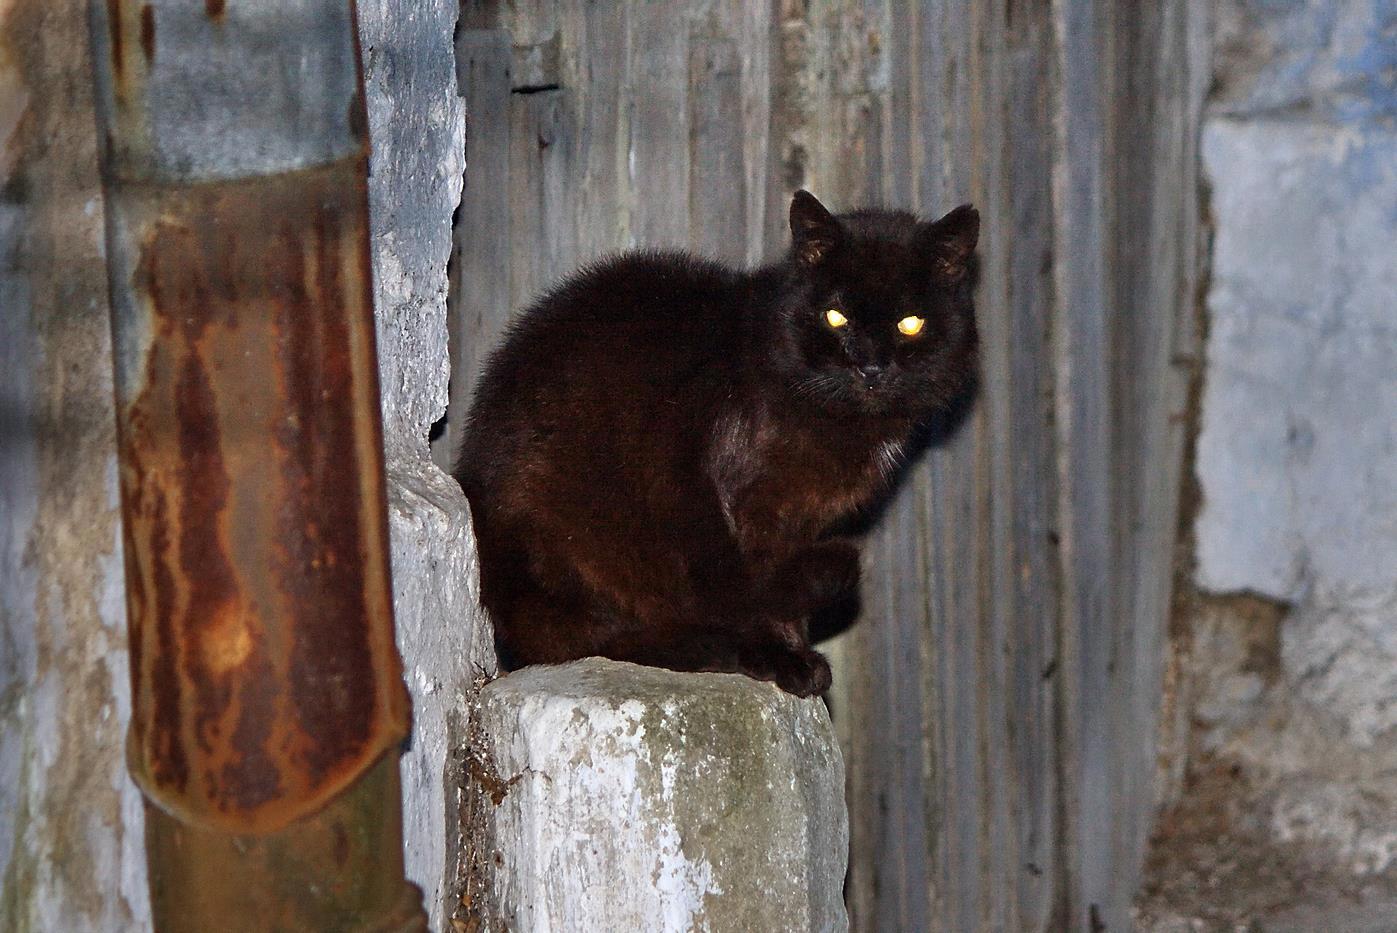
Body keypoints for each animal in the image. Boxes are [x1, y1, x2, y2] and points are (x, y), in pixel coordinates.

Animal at [455, 190, 979, 697]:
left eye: (910, 323)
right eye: (836, 317)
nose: (869, 367)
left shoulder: (796, 523)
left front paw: (795, 652)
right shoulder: (724, 499)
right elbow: (745, 587)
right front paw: (781, 660)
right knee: (584, 638)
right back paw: (705, 647)